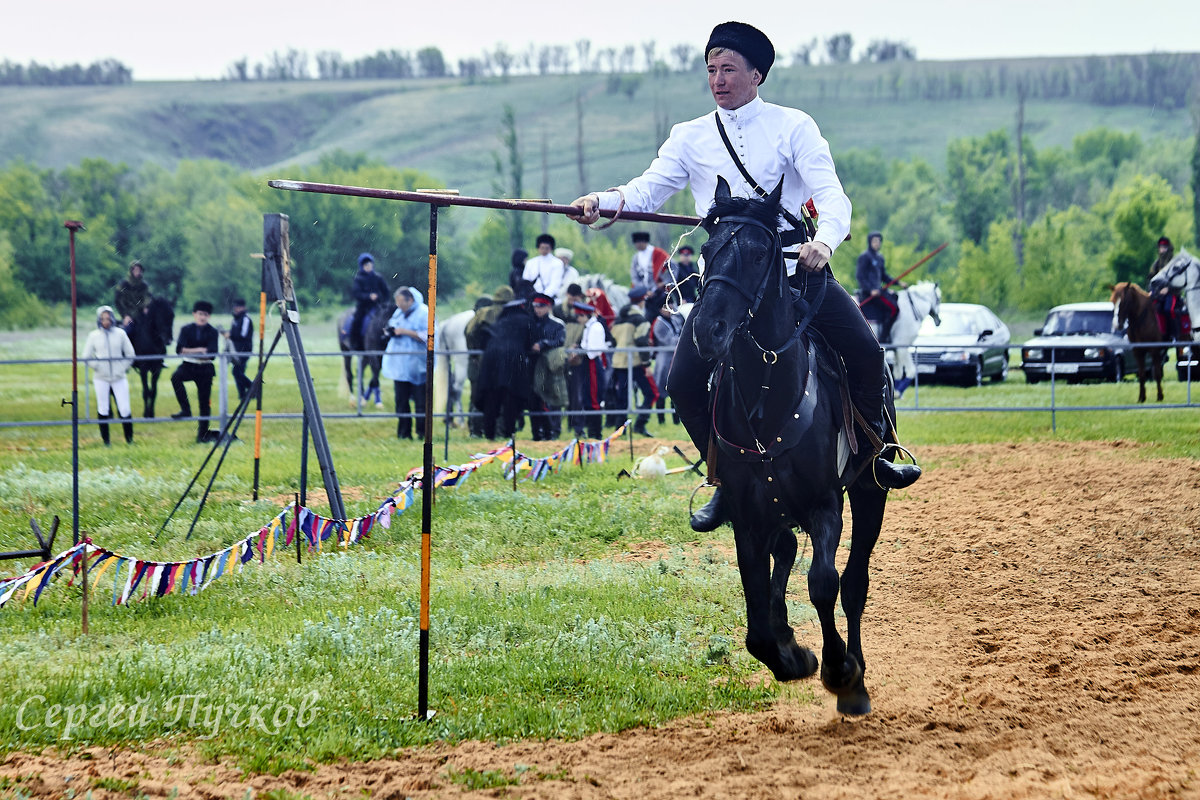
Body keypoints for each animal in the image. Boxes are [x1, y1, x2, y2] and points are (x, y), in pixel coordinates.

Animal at [691, 178, 897, 714]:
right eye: (707, 249)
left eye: (760, 252)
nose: (707, 330)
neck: (770, 390)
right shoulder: (747, 517)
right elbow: (756, 618)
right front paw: (792, 656)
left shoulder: (827, 505)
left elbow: (824, 584)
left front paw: (841, 672)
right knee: (784, 554)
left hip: (870, 493)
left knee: (854, 584)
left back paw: (856, 679)